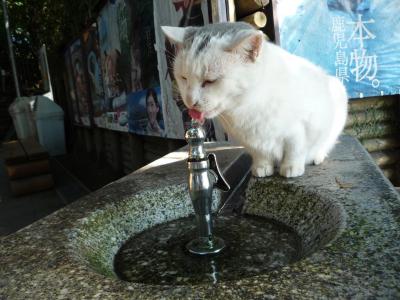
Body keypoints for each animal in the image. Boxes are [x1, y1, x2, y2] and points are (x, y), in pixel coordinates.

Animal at [162, 23, 346, 178]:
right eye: (184, 78)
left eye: (210, 81)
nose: (189, 100)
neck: (246, 107)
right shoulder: (252, 141)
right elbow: (261, 154)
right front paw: (262, 167)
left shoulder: (299, 128)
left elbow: (295, 149)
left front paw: (291, 168)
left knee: (324, 143)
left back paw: (317, 156)